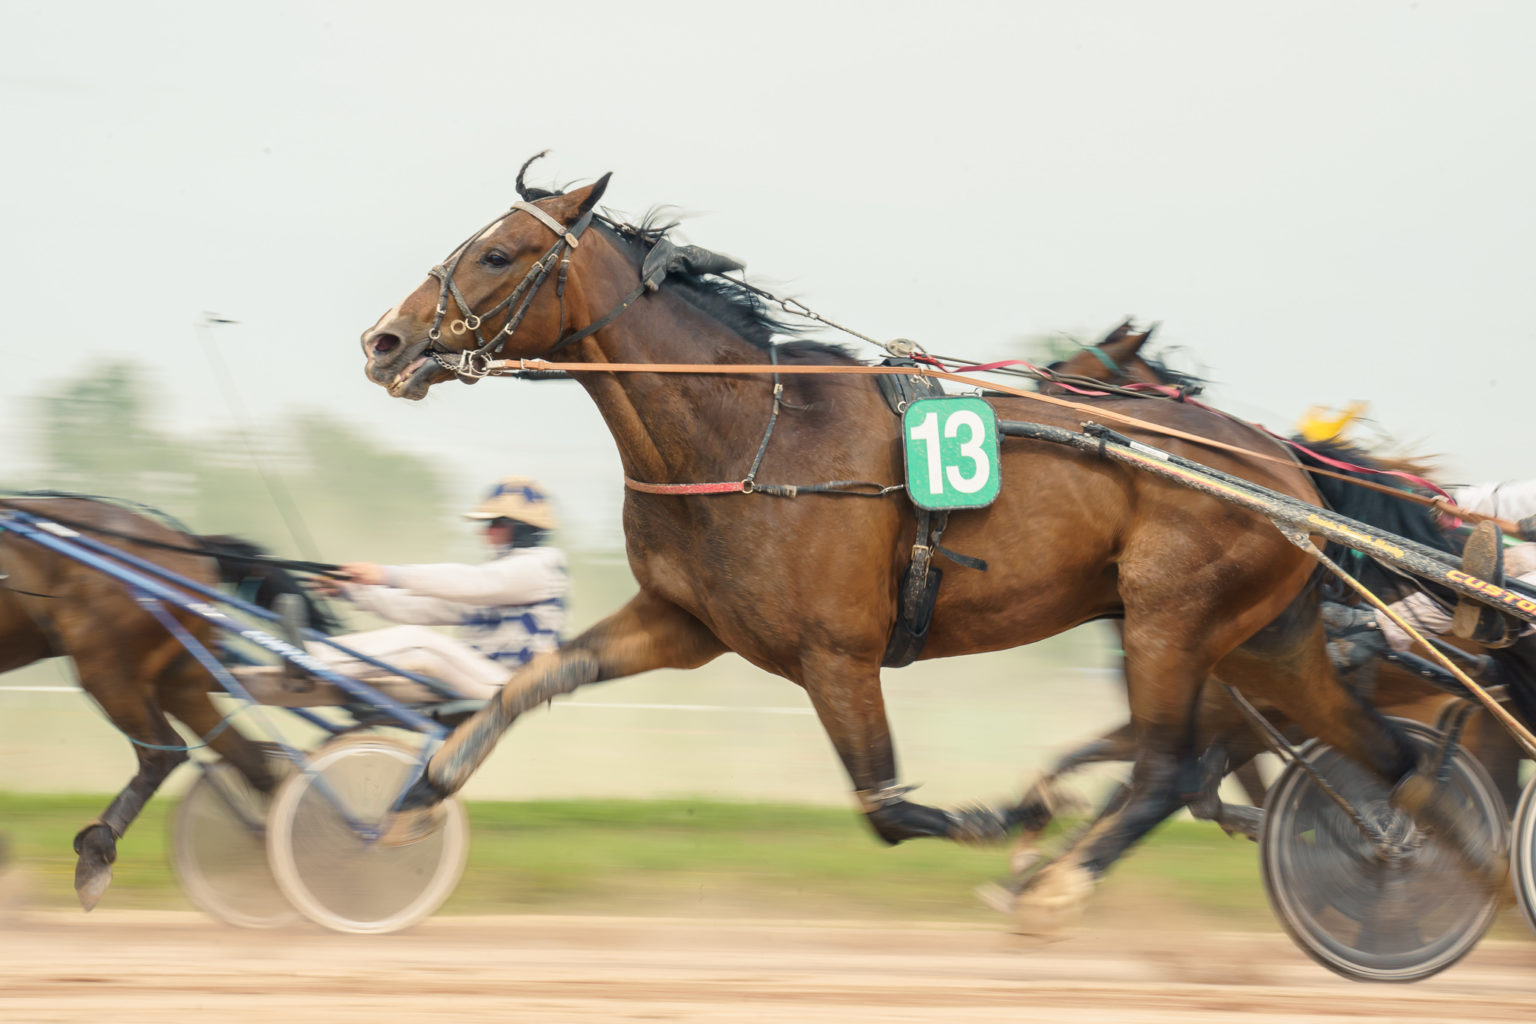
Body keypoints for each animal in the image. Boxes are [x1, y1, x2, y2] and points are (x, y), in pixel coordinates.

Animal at [0, 491, 333, 908]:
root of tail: (189, 544)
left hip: (106, 665)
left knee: (163, 751)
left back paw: (95, 855)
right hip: (179, 681)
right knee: (248, 759)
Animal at [353, 164, 1505, 933]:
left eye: (498, 253)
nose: (384, 340)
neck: (754, 432)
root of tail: (1279, 465)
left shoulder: (835, 653)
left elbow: (888, 807)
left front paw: (1015, 816)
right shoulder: (682, 622)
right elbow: (529, 679)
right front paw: (413, 799)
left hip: (1172, 620)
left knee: (1171, 766)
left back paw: (1060, 880)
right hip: (1270, 641)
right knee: (1393, 761)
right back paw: (1440, 881)